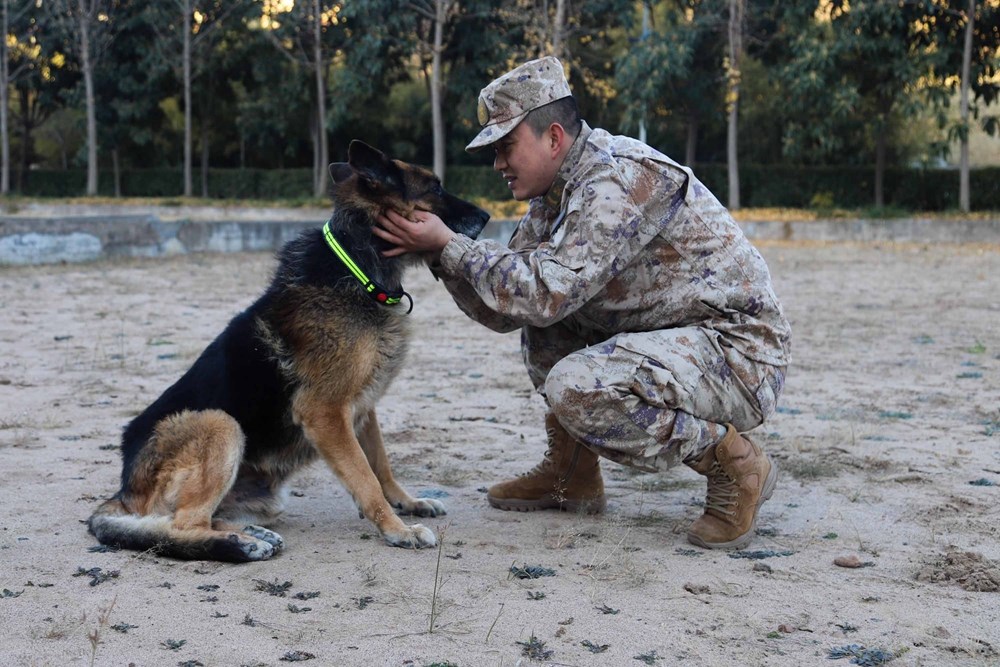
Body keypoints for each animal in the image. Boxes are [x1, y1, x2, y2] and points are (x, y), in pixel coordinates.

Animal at [90, 141, 488, 564]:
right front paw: (396, 529)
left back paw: (250, 532)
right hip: (220, 423)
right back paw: (240, 543)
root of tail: (124, 491)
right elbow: (366, 478)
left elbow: (381, 465)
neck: (357, 266)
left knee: (195, 519)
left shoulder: (363, 409)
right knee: (183, 524)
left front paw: (407, 503)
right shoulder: (325, 412)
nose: (488, 215)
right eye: (435, 188)